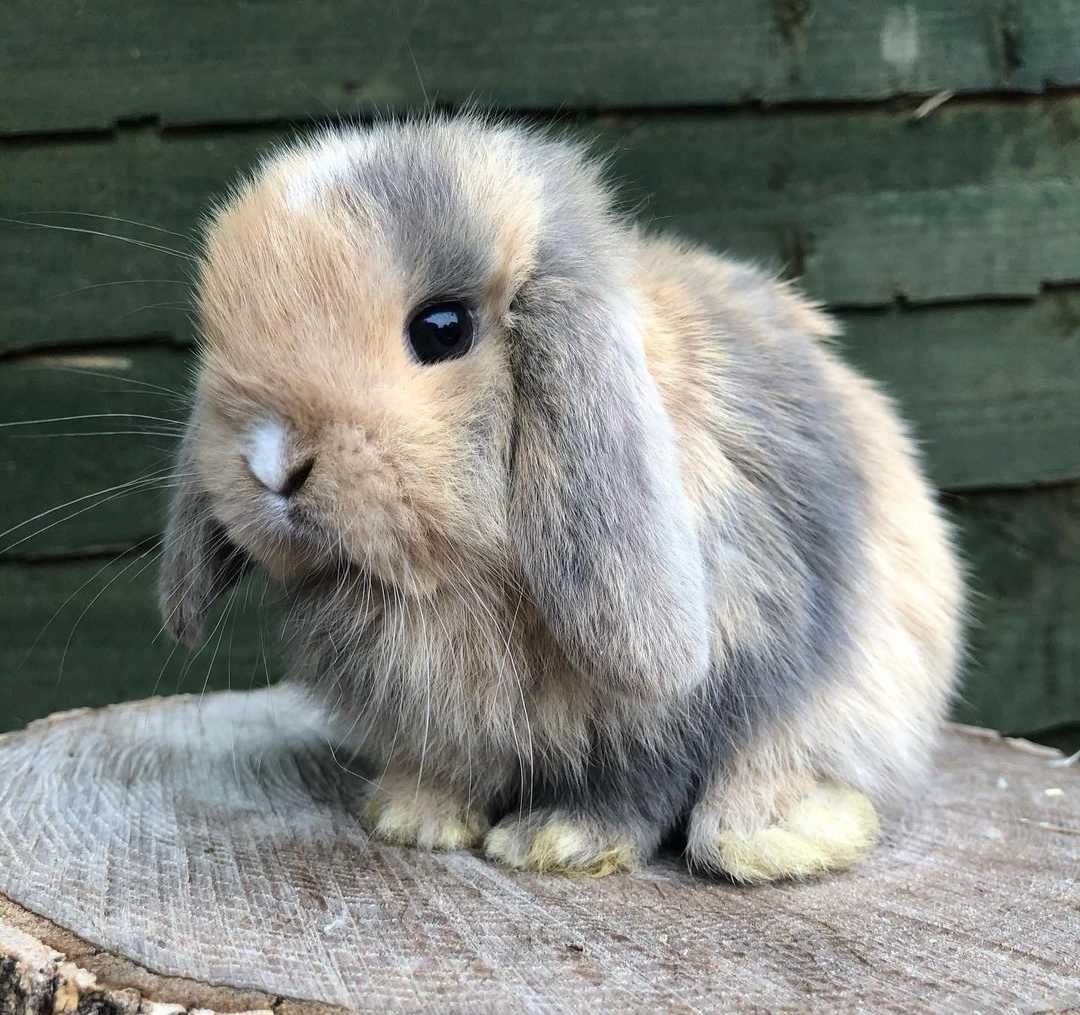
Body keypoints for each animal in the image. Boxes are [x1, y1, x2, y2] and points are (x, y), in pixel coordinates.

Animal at [159, 112, 963, 881]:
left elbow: (637, 781)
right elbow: (457, 765)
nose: (271, 464)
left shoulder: (699, 690)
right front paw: (414, 818)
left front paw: (556, 841)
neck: (461, 580)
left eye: (442, 329)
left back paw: (775, 837)